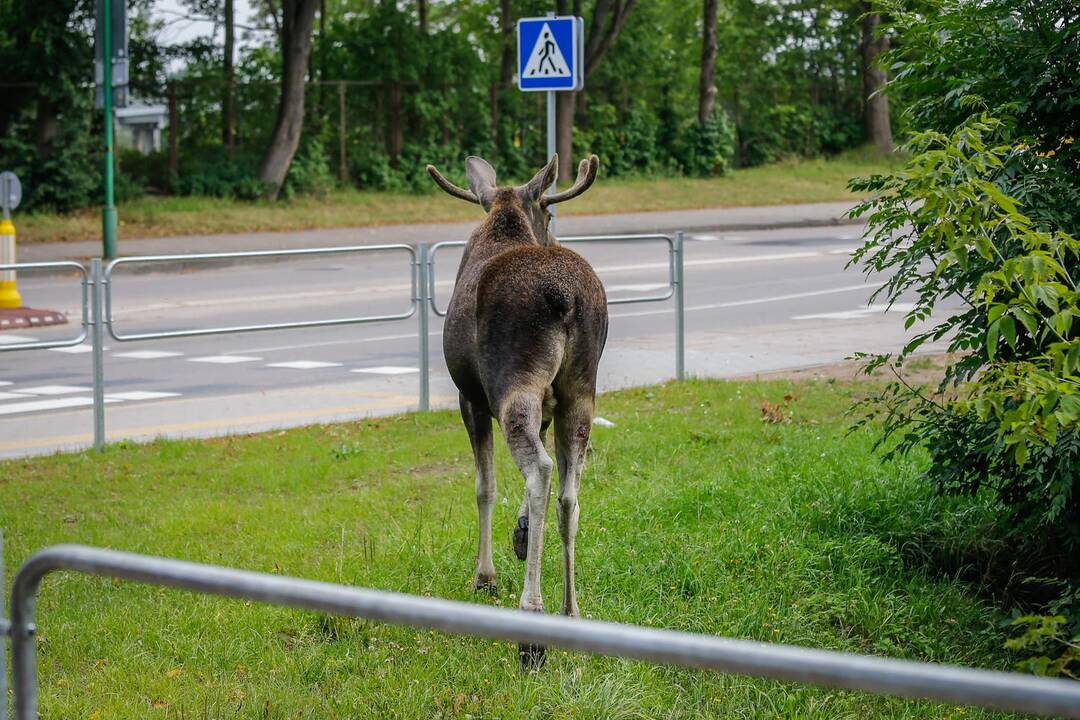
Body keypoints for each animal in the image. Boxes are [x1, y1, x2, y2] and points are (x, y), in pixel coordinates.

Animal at [423, 155, 609, 669]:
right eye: (549, 212)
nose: (556, 238)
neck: (503, 216)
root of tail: (568, 299)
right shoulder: (548, 407)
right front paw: (522, 535)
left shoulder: (469, 396)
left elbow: (484, 487)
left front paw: (484, 575)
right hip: (579, 392)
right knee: (569, 492)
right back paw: (570, 610)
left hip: (513, 387)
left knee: (541, 471)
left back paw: (532, 625)